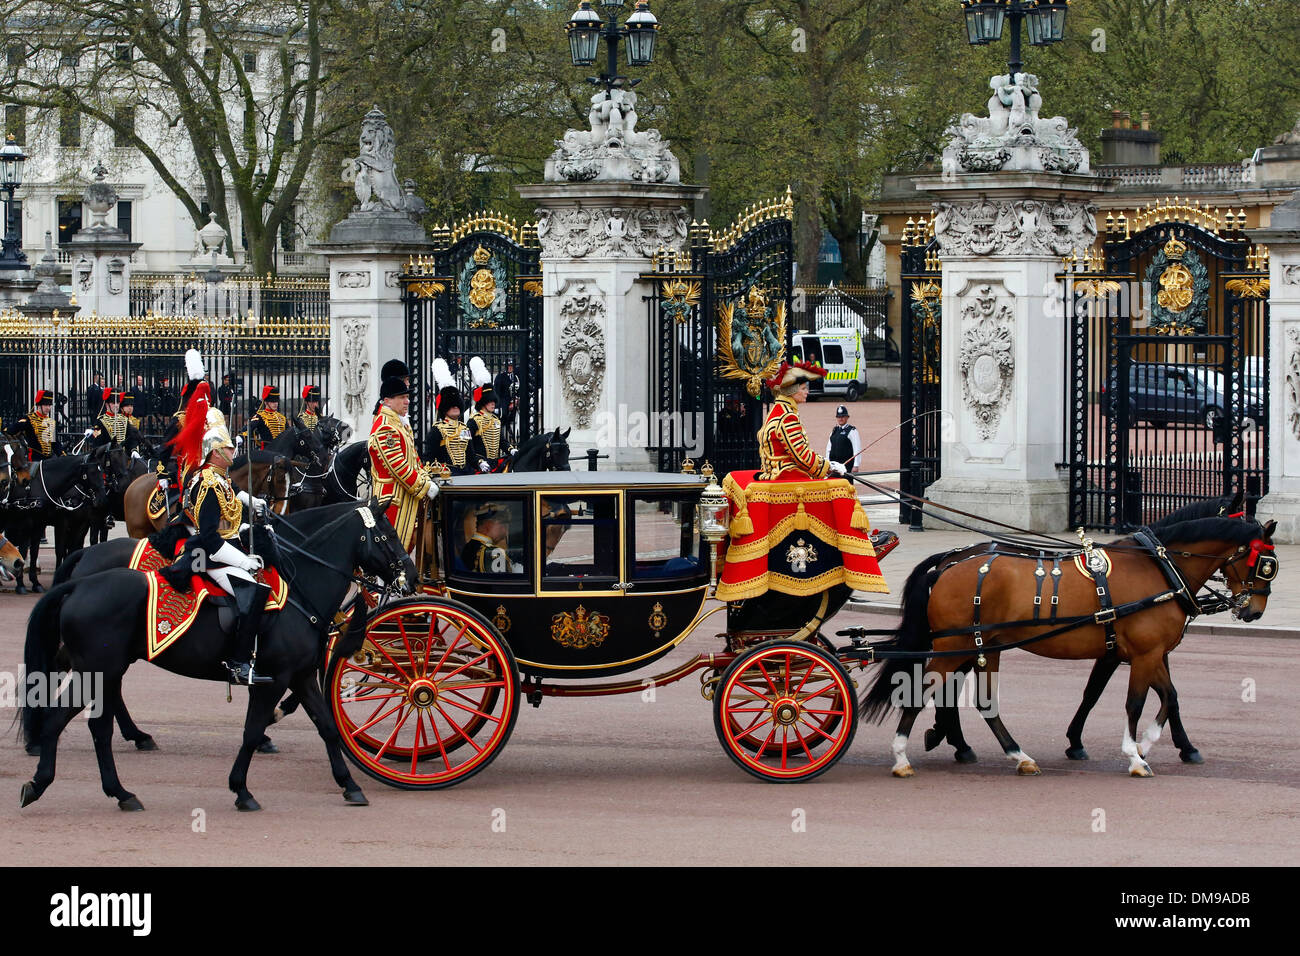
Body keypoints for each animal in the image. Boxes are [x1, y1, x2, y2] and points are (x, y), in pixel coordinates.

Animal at [20, 502, 416, 816]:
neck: (300, 592)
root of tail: (80, 582)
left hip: (102, 672)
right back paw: (58, 780)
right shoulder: (273, 679)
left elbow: (327, 727)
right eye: (386, 535)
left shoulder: (301, 677)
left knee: (86, 726)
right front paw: (241, 789)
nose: (410, 577)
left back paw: (107, 789)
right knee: (71, 722)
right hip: (99, 670)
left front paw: (349, 784)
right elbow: (252, 731)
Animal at [857, 515, 1274, 780]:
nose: (1253, 611)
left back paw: (1014, 755)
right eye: (1265, 565)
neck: (1159, 570)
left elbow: (1168, 697)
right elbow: (1136, 703)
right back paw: (902, 756)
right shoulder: (1144, 654)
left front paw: (1151, 745)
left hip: (981, 646)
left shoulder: (1147, 654)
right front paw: (1135, 755)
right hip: (955, 644)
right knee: (922, 690)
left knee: (983, 703)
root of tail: (946, 563)